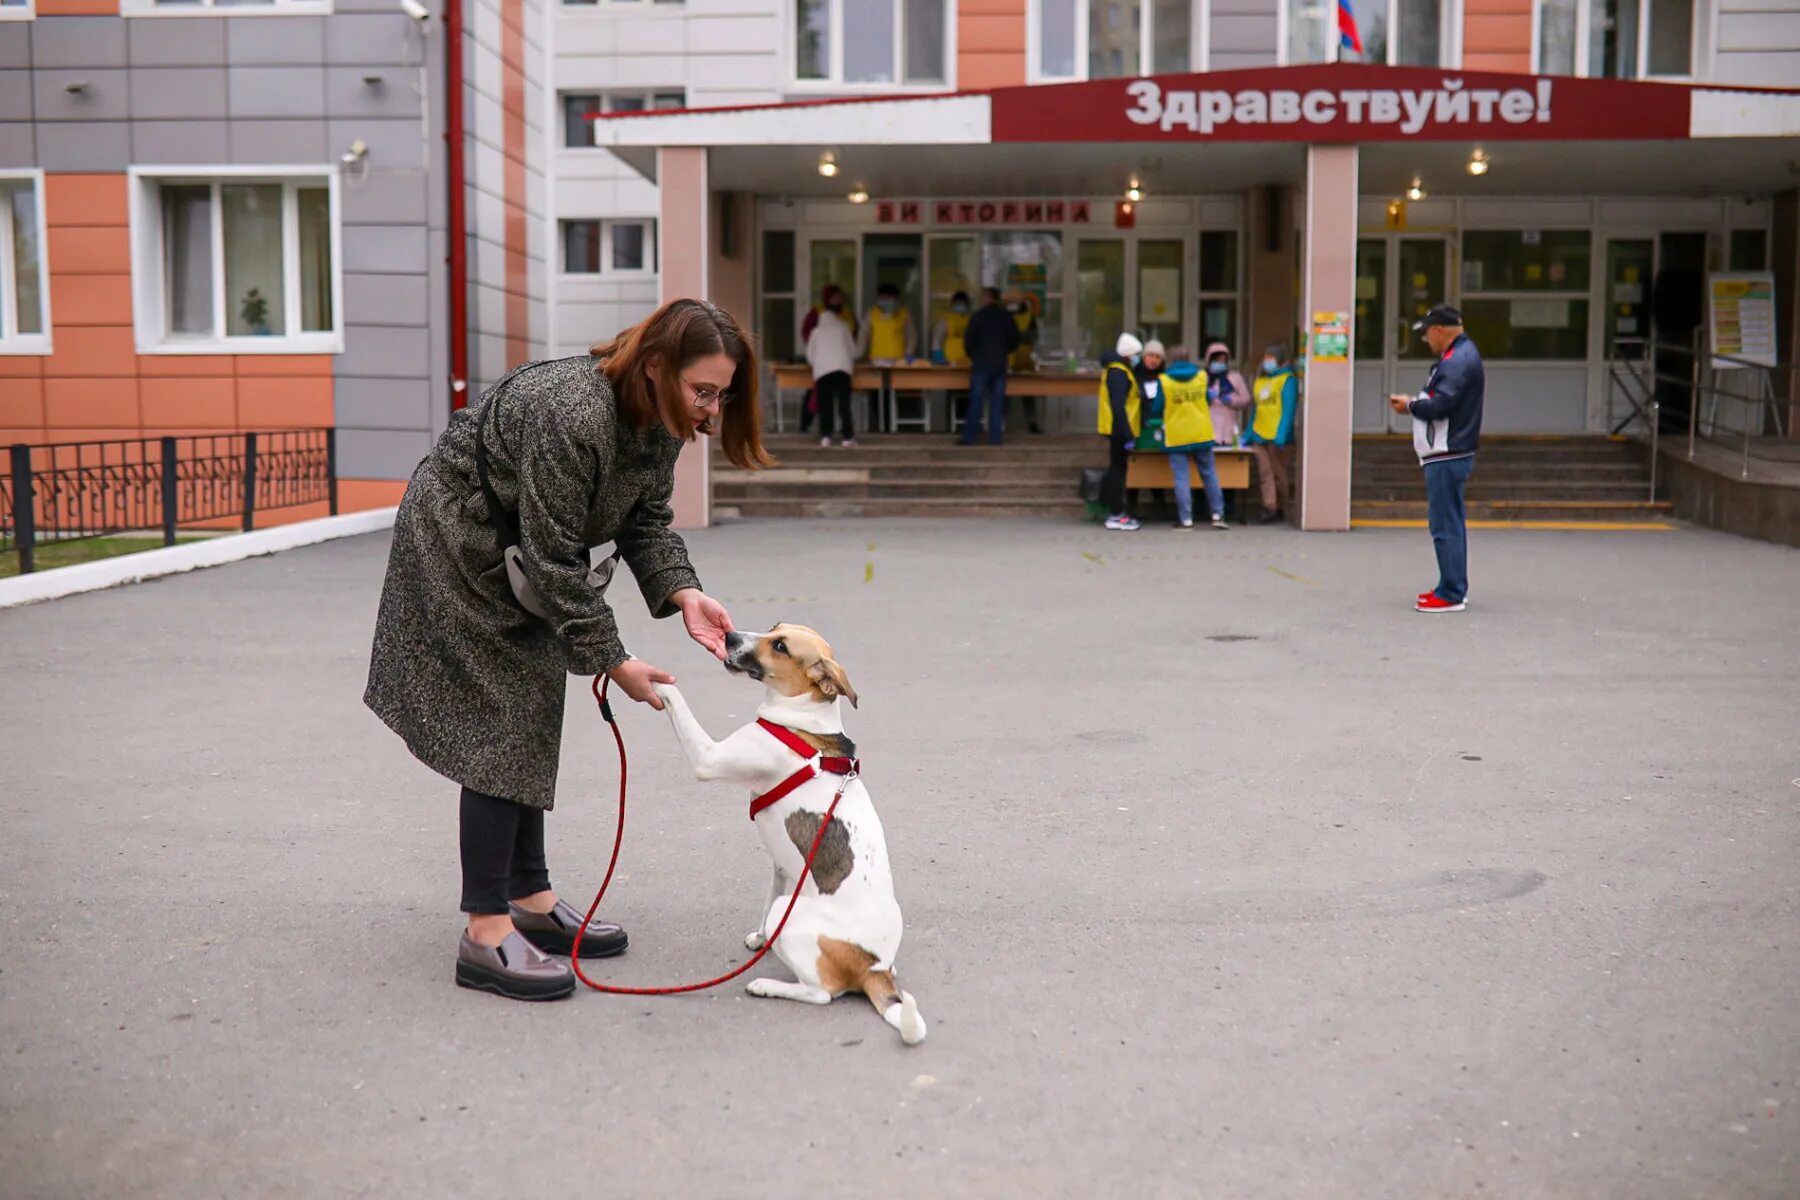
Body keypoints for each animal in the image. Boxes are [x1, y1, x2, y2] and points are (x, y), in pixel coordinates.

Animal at [655, 626, 928, 1043]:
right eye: (773, 628)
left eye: (780, 646)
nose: (729, 634)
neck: (804, 721)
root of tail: (872, 966)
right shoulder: (782, 867)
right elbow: (767, 901)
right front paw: (761, 938)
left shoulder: (708, 757)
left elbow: (677, 700)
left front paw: (649, 677)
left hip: (797, 922)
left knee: (823, 993)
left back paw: (767, 986)